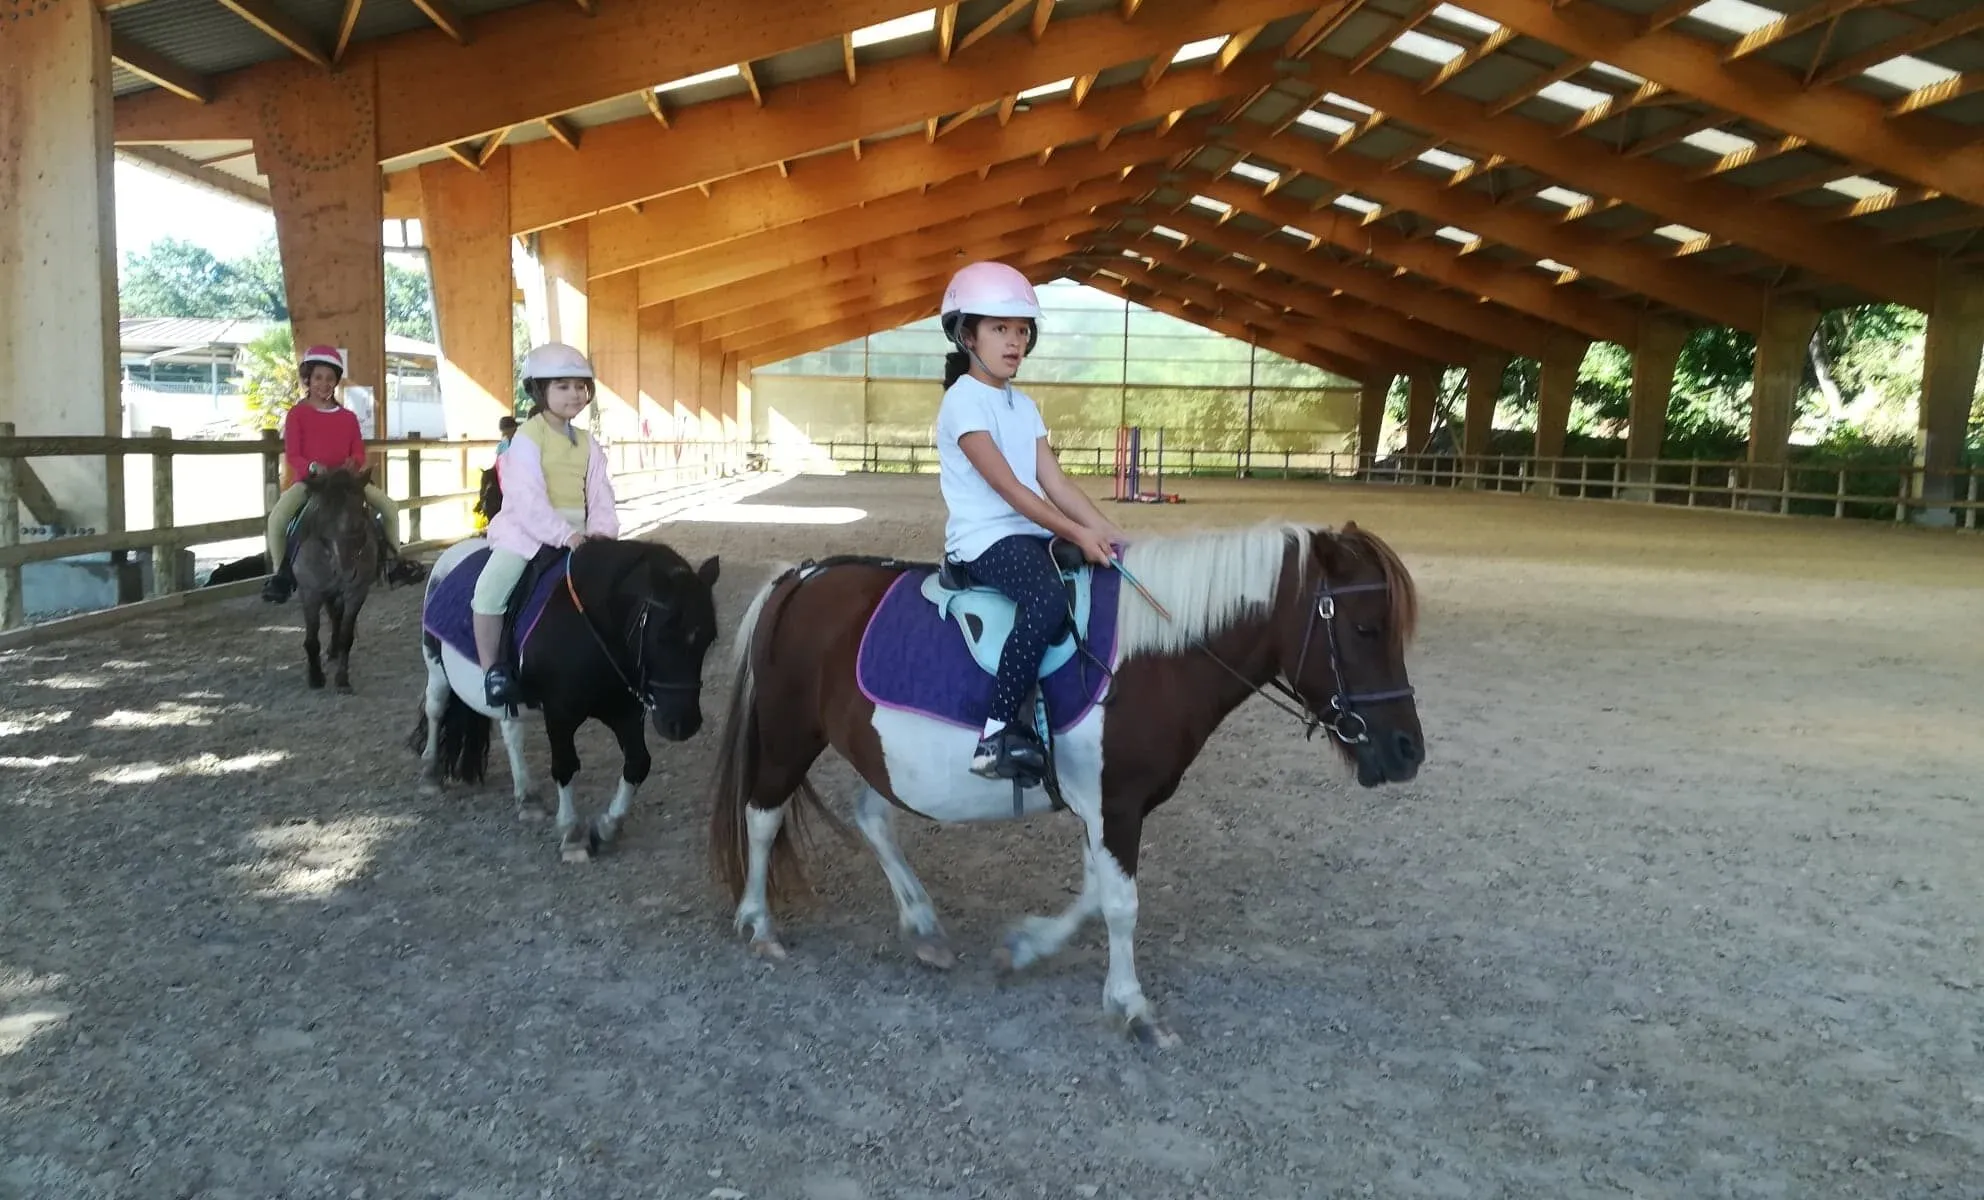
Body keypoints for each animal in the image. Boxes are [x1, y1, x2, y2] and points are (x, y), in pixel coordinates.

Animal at [714, 519, 1428, 1047]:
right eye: (1365, 628)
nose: (1407, 751)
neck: (1150, 656)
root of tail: (803, 575)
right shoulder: (1118, 804)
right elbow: (1120, 904)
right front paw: (1135, 1009)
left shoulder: (1103, 806)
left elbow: (1092, 894)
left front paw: (1025, 948)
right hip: (790, 733)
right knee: (763, 815)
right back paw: (759, 924)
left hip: (879, 752)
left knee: (872, 817)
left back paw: (922, 928)